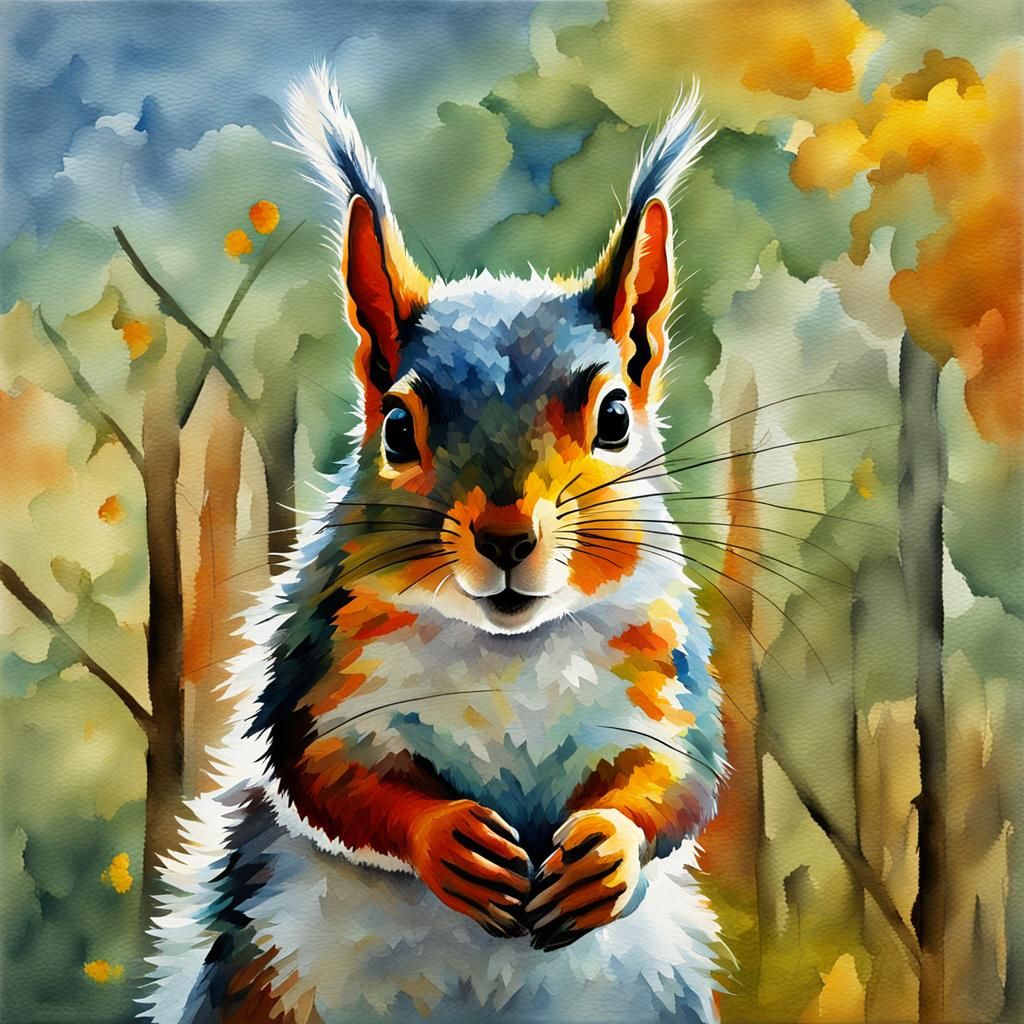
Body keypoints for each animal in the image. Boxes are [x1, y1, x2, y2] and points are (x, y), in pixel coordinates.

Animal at [145, 64, 726, 1024]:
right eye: (396, 428)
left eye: (614, 416)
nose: (506, 538)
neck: (508, 648)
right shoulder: (320, 664)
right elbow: (324, 776)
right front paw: (449, 838)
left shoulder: (666, 669)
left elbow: (681, 785)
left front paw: (605, 850)